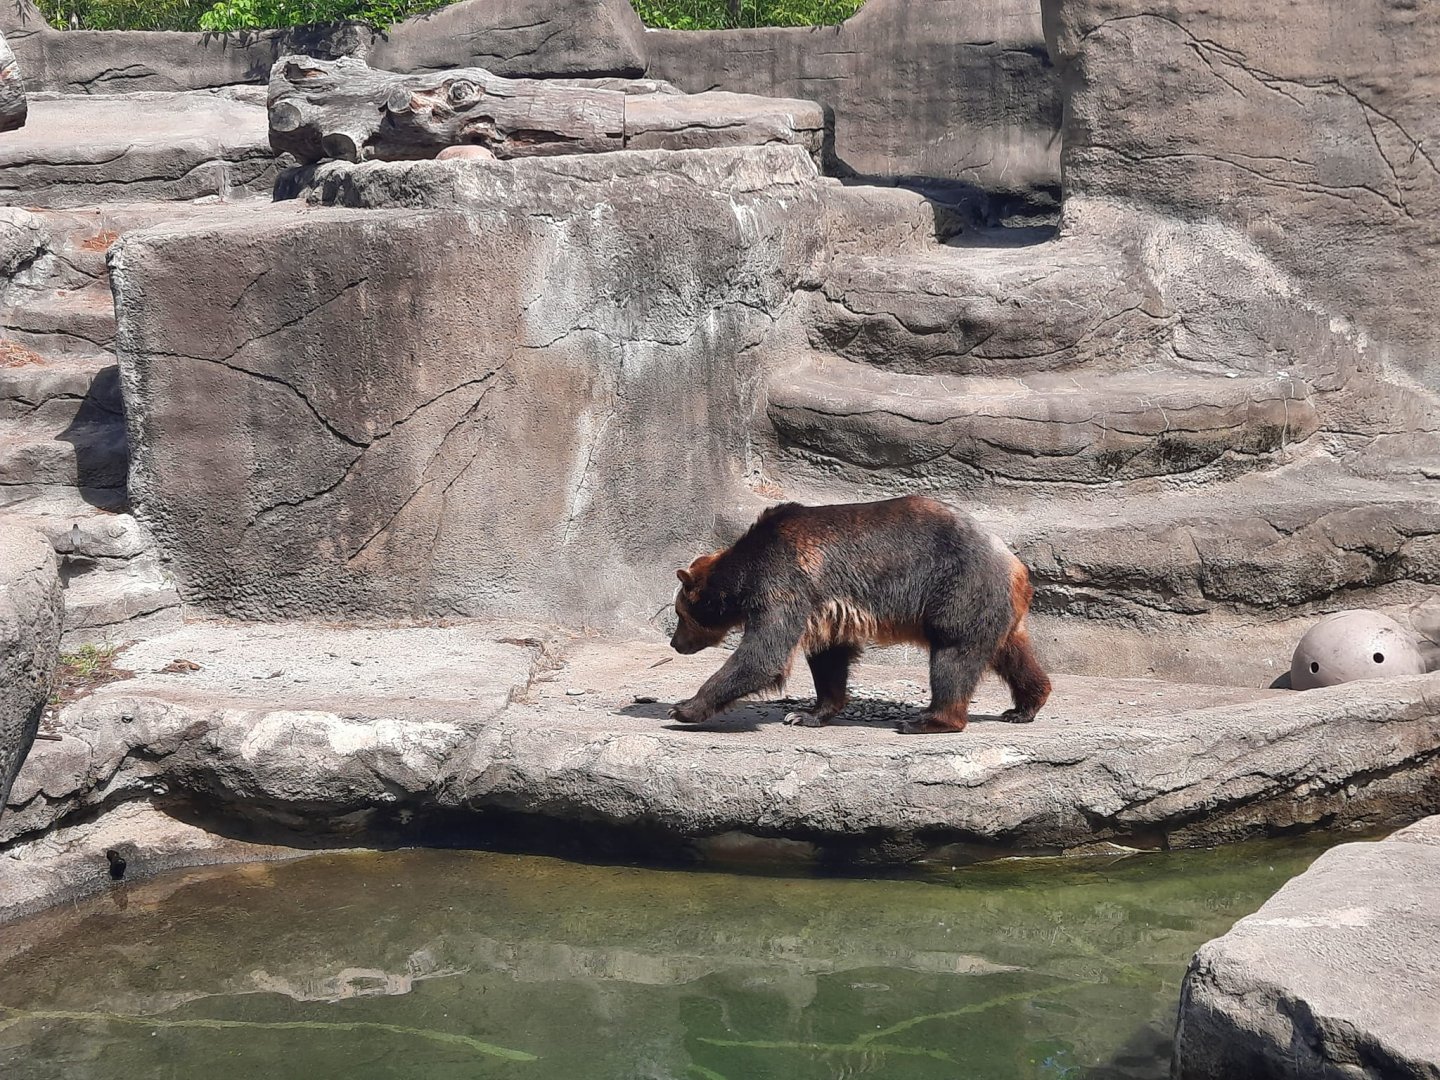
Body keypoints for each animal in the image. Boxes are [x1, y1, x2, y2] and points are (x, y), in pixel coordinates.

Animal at [668, 496, 1051, 734]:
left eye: (680, 613)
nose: (674, 643)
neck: (745, 572)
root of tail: (1016, 565)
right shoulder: (824, 608)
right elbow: (829, 658)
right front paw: (806, 714)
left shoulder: (784, 582)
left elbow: (764, 654)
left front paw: (684, 707)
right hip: (994, 606)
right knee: (1012, 654)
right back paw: (1024, 706)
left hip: (960, 590)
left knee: (953, 656)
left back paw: (927, 720)